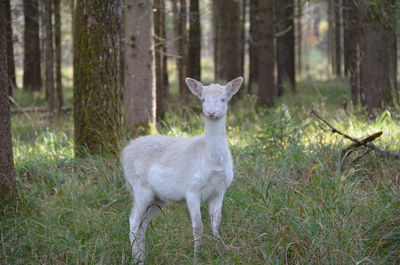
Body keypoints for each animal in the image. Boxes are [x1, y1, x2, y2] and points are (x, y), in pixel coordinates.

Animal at [120, 76, 242, 262]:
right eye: (203, 99)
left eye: (223, 99)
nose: (211, 113)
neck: (212, 162)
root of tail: (124, 153)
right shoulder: (191, 189)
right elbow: (198, 226)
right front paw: (197, 257)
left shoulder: (220, 190)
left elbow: (216, 223)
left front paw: (218, 251)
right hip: (140, 188)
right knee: (133, 221)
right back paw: (137, 259)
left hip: (158, 199)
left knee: (143, 224)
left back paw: (143, 257)